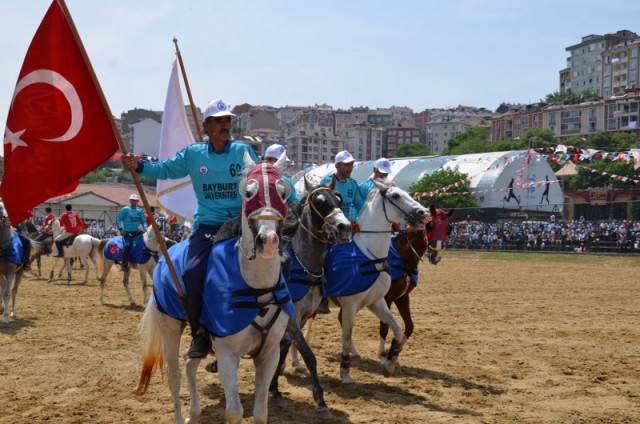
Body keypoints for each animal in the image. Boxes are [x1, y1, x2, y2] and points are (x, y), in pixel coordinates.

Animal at [138, 155, 292, 424]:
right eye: (249, 192)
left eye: (283, 193)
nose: (268, 240)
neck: (256, 288)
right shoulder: (227, 353)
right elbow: (234, 411)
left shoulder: (269, 355)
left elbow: (260, 413)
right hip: (169, 328)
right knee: (175, 377)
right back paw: (180, 416)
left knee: (190, 364)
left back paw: (194, 414)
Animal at [322, 181, 428, 386]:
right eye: (395, 195)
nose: (423, 212)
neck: (369, 257)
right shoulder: (350, 306)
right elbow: (346, 339)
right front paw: (345, 374)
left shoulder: (377, 302)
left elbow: (398, 330)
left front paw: (390, 363)